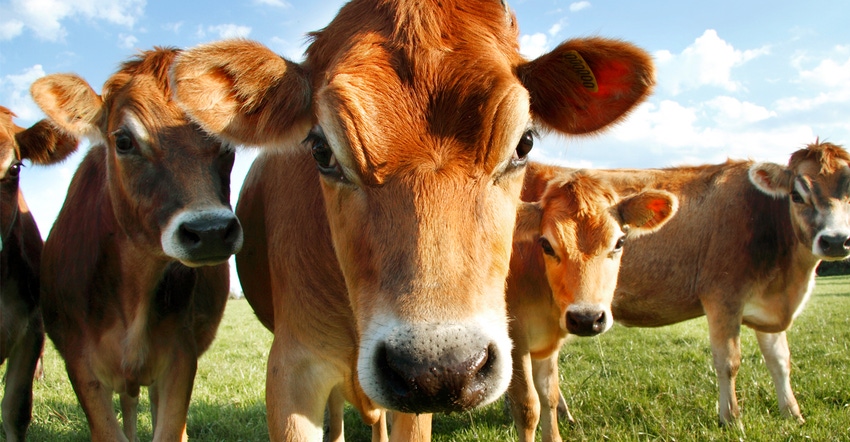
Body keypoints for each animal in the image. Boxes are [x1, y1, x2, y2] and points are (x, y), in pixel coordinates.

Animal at [30, 48, 242, 442]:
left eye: (226, 139)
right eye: (124, 141)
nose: (209, 231)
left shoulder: (181, 356)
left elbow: (169, 428)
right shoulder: (80, 364)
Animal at [504, 166, 676, 442]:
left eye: (620, 242)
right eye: (546, 244)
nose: (587, 318)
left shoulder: (548, 342)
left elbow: (549, 396)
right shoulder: (514, 337)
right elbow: (528, 406)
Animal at [536, 142, 848, 428]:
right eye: (797, 195)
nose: (835, 241)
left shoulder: (767, 304)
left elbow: (780, 360)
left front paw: (793, 414)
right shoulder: (723, 297)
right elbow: (728, 362)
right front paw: (731, 420)